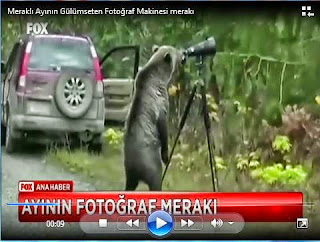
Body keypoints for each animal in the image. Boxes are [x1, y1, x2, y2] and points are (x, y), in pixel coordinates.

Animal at [123, 45, 182, 191]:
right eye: (176, 51)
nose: (183, 54)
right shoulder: (160, 101)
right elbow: (163, 126)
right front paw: (167, 156)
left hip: (129, 171)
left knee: (130, 183)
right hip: (150, 162)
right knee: (155, 180)